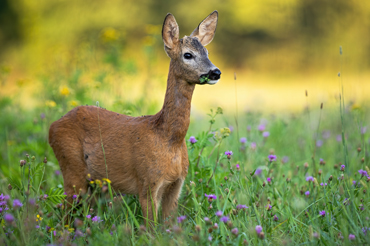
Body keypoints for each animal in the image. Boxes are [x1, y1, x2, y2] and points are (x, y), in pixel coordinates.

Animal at [49, 10, 223, 225]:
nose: (215, 72)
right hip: (71, 168)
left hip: (94, 184)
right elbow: (150, 228)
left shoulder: (177, 184)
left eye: (207, 53)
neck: (168, 138)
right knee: (64, 214)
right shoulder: (147, 182)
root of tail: (52, 126)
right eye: (188, 54)